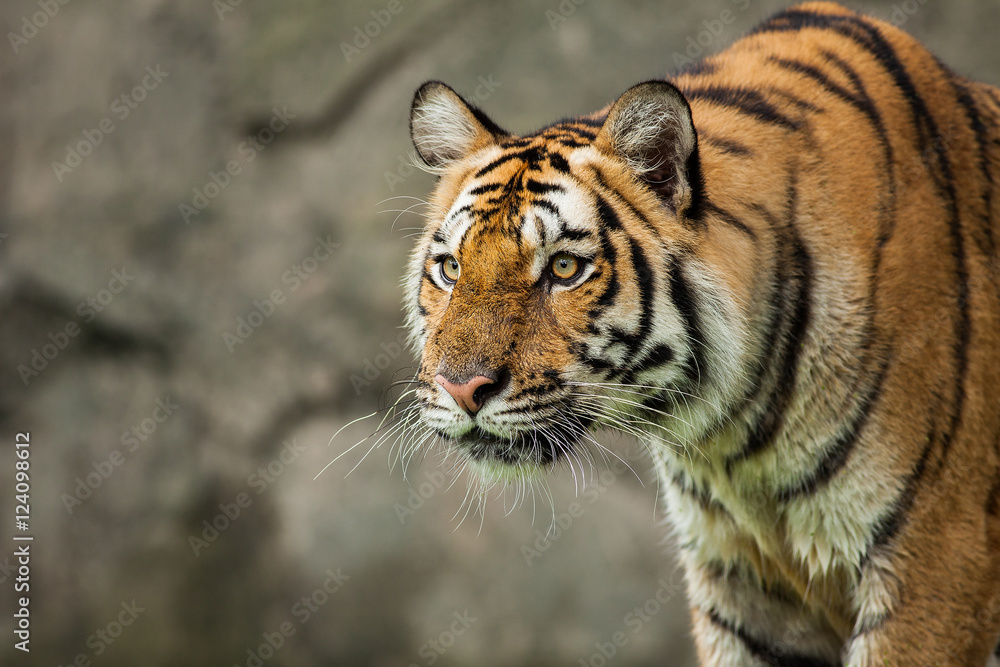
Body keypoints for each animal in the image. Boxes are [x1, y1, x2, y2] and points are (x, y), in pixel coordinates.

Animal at [398, 2, 1000, 664]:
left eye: (564, 268)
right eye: (452, 268)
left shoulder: (934, 557)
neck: (731, 436)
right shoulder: (741, 585)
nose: (461, 390)